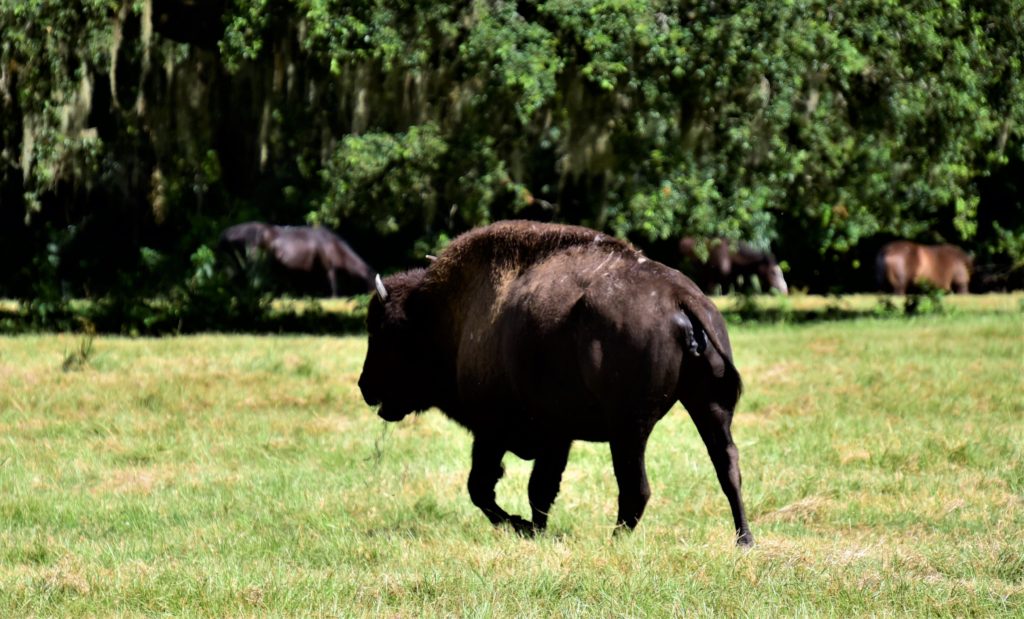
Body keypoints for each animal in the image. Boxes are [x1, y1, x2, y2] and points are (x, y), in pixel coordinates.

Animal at [219, 222, 376, 297]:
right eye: (373, 283)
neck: (332, 245)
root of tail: (225, 234)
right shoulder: (328, 266)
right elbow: (333, 282)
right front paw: (334, 297)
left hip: (233, 262)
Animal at [360, 220, 753, 545]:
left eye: (385, 332)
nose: (365, 386)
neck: (444, 314)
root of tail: (678, 296)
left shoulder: (493, 432)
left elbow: (483, 488)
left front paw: (522, 526)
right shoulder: (555, 437)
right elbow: (539, 489)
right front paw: (534, 529)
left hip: (629, 428)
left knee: (636, 487)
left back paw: (614, 540)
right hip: (708, 407)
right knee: (727, 466)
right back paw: (744, 539)